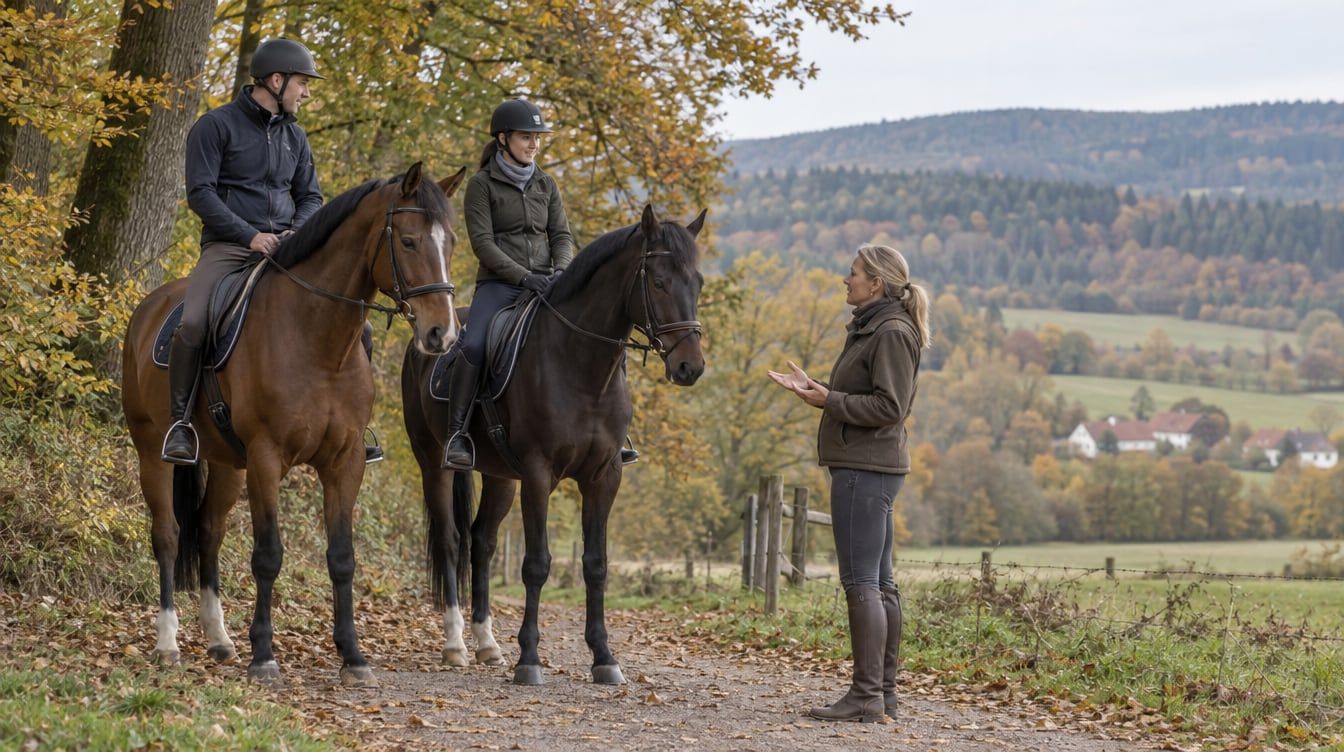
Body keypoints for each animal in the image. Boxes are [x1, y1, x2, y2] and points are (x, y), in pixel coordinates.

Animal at [121, 162, 466, 686]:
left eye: (451, 245)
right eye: (408, 242)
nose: (441, 335)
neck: (317, 340)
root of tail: (149, 308)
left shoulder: (345, 463)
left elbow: (342, 558)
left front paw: (353, 657)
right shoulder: (267, 459)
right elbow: (268, 556)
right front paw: (264, 656)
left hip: (228, 465)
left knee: (208, 532)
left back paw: (218, 639)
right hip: (152, 451)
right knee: (167, 535)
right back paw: (168, 644)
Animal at [402, 204, 707, 684]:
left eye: (698, 283)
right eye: (658, 282)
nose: (690, 367)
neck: (581, 366)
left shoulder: (604, 476)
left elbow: (596, 564)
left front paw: (604, 658)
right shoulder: (538, 473)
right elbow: (536, 564)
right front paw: (529, 659)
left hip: (500, 476)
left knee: (482, 542)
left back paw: (487, 645)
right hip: (435, 462)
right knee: (451, 540)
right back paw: (456, 645)